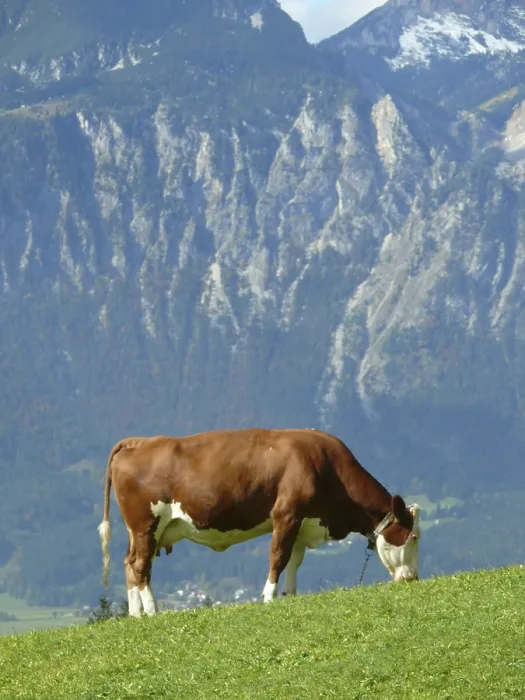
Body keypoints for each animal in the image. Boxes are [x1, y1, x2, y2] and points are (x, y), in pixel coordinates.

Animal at [98, 428, 420, 617]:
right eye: (414, 537)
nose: (413, 579)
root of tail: (137, 442)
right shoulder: (286, 514)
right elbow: (278, 556)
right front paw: (269, 597)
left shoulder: (303, 521)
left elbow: (295, 559)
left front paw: (290, 594)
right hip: (146, 524)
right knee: (141, 565)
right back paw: (153, 612)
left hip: (139, 530)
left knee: (129, 562)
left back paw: (136, 614)